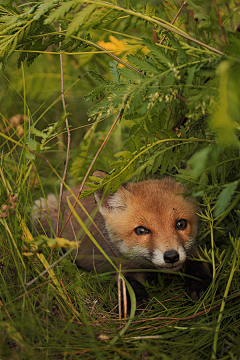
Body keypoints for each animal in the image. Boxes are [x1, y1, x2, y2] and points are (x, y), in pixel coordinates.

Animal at [32, 172, 211, 310]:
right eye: (141, 230)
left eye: (181, 224)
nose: (171, 256)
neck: (150, 269)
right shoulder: (120, 266)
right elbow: (128, 286)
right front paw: (138, 302)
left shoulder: (191, 251)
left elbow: (198, 264)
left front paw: (200, 285)